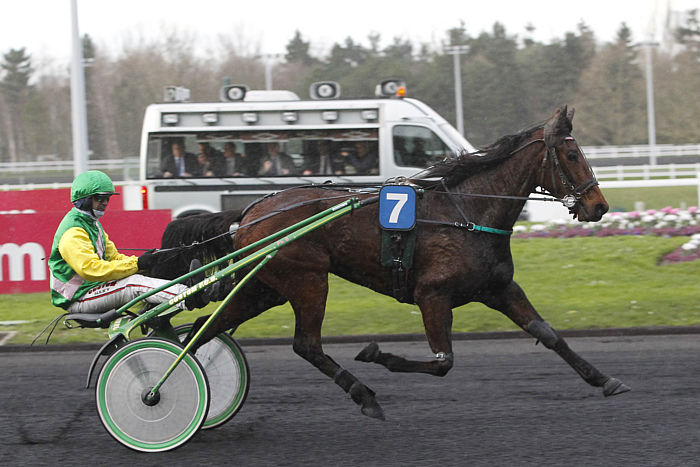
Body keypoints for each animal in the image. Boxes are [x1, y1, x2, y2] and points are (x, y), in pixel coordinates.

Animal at [156, 108, 632, 422]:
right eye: (572, 156)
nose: (599, 206)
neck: (467, 212)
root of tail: (250, 211)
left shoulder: (497, 287)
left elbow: (548, 334)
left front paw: (604, 379)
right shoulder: (432, 295)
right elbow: (442, 361)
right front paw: (377, 354)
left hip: (265, 287)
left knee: (204, 333)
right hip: (307, 280)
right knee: (306, 345)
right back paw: (363, 394)